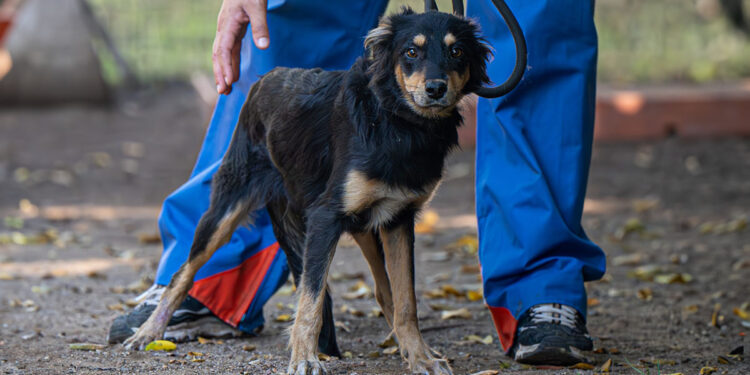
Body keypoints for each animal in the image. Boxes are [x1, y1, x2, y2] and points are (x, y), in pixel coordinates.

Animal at [125, 8, 494, 375]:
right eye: (411, 52)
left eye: (457, 51)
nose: (436, 88)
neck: (397, 123)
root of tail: (266, 77)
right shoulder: (325, 218)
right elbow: (310, 298)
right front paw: (304, 358)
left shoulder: (399, 219)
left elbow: (406, 301)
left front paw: (420, 356)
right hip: (227, 207)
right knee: (183, 272)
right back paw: (149, 331)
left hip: (365, 222)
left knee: (382, 289)